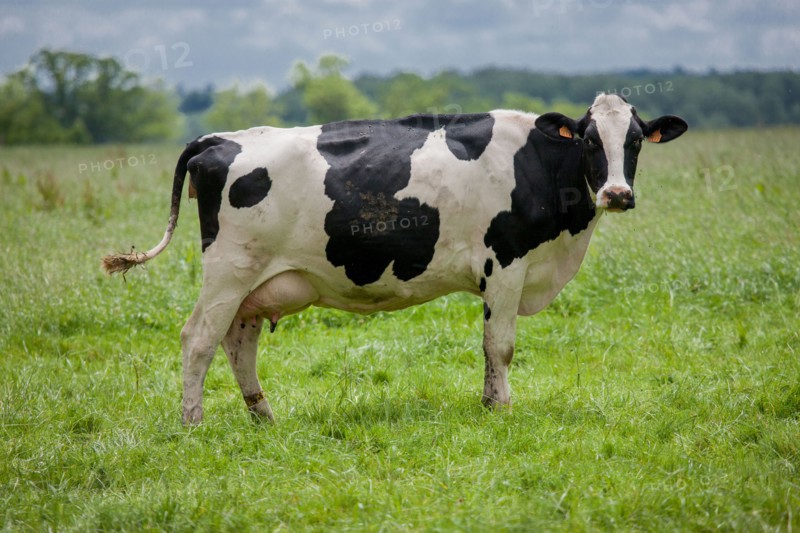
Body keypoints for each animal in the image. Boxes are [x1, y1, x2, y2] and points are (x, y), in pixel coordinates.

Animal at [103, 93, 687, 424]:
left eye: (636, 141)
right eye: (588, 140)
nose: (617, 194)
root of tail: (217, 139)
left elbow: (488, 346)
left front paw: (487, 404)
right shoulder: (506, 263)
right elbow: (500, 346)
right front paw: (502, 409)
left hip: (255, 283)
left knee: (237, 343)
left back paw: (264, 416)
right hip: (229, 269)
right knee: (199, 339)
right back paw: (192, 422)